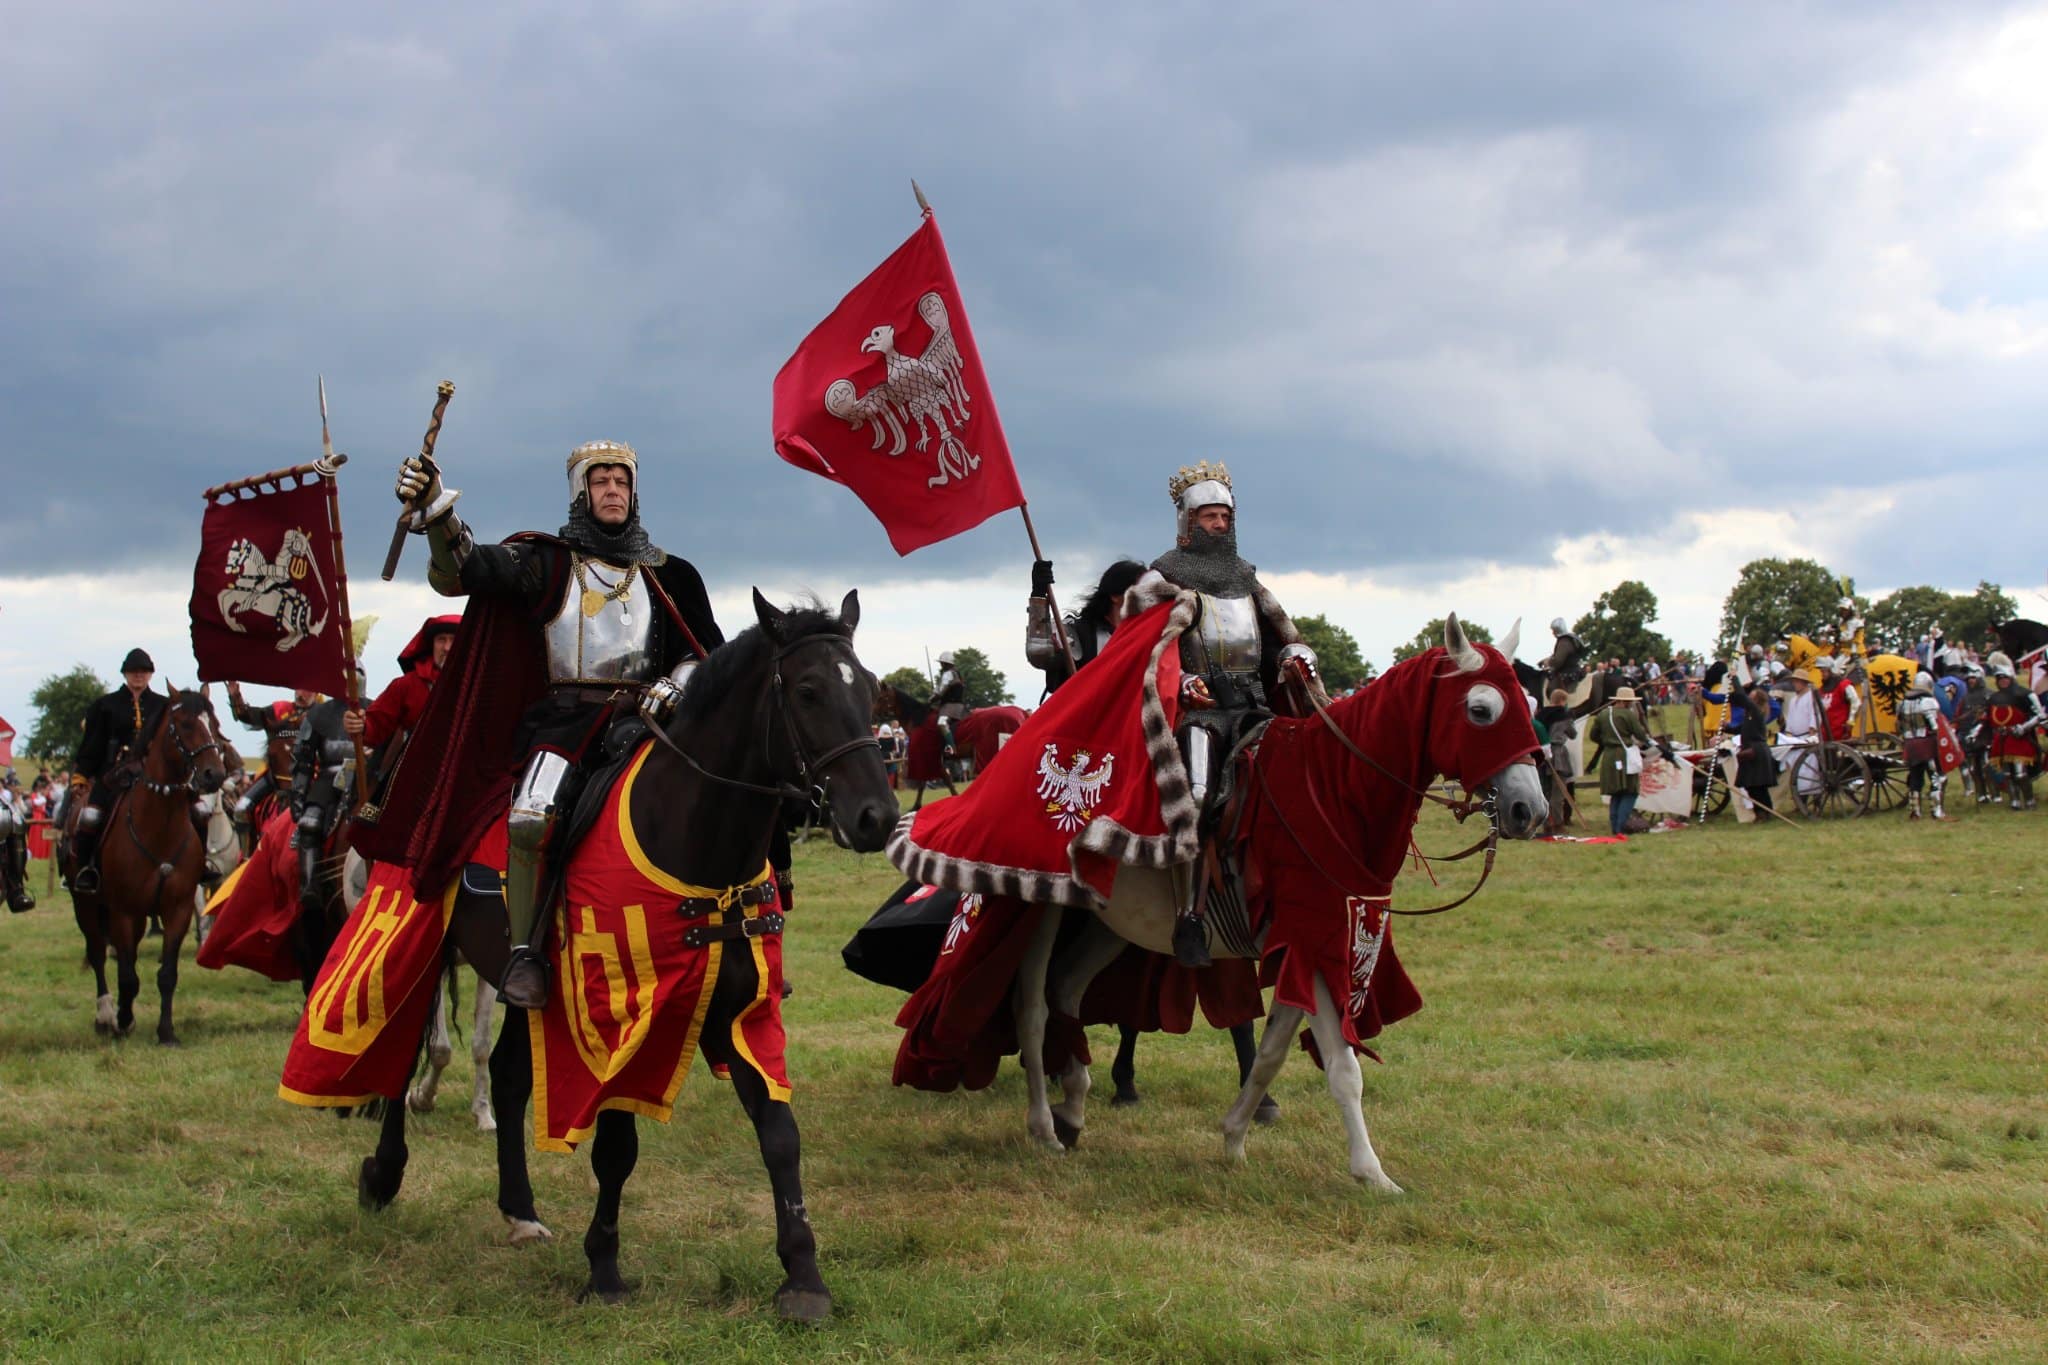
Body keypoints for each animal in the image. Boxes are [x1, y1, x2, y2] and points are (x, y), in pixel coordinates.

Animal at [63, 687, 230, 1055]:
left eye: (214, 723)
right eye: (185, 724)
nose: (213, 775)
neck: (159, 825)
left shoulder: (177, 908)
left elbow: (166, 974)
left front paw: (166, 1032)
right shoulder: (123, 910)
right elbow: (126, 975)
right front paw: (122, 1020)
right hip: (87, 905)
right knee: (99, 954)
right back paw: (106, 1016)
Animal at [354, 593, 897, 1317]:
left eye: (868, 687)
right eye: (807, 690)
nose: (876, 816)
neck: (695, 839)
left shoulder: (740, 1014)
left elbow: (780, 1134)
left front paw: (804, 1277)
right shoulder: (618, 1013)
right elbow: (616, 1145)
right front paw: (605, 1267)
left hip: (519, 978)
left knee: (508, 1074)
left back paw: (519, 1209)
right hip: (436, 939)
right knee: (408, 1044)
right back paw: (384, 1173)